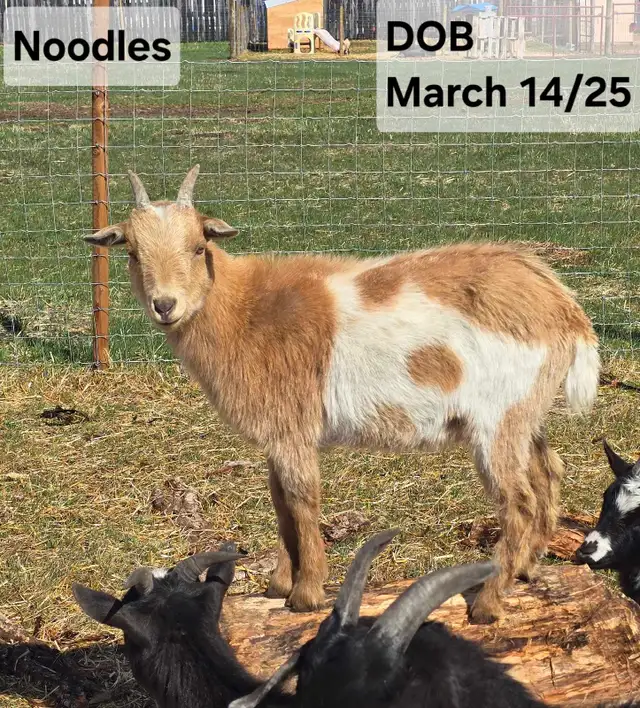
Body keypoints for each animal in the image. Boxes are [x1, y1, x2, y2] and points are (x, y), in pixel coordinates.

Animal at [84, 166, 600, 621]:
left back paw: (490, 602)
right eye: (132, 252)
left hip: (497, 418)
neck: (244, 311)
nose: (165, 305)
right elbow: (279, 501)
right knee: (548, 472)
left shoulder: (292, 425)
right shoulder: (278, 434)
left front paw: (306, 594)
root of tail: (564, 307)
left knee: (519, 502)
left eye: (197, 247)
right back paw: (527, 569)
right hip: (524, 413)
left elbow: (302, 499)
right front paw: (279, 586)